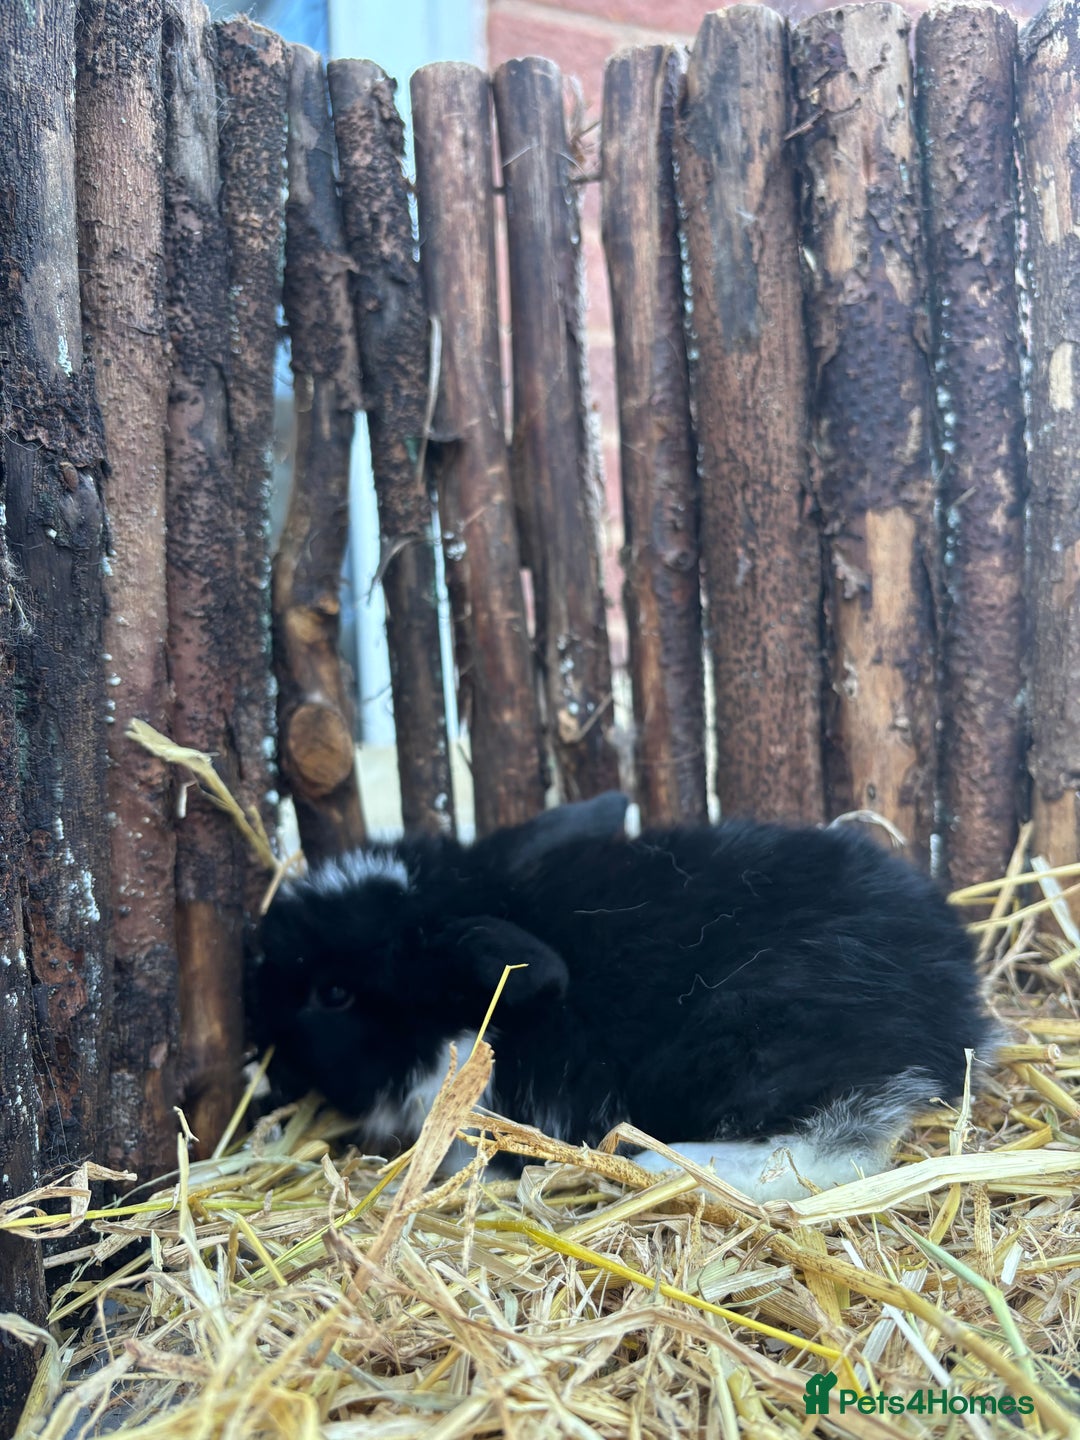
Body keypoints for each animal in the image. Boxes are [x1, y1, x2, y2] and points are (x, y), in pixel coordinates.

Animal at [249, 801, 997, 1202]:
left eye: (333, 993)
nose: (250, 977)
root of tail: (953, 1005)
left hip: (754, 1045)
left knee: (836, 1153)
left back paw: (656, 1165)